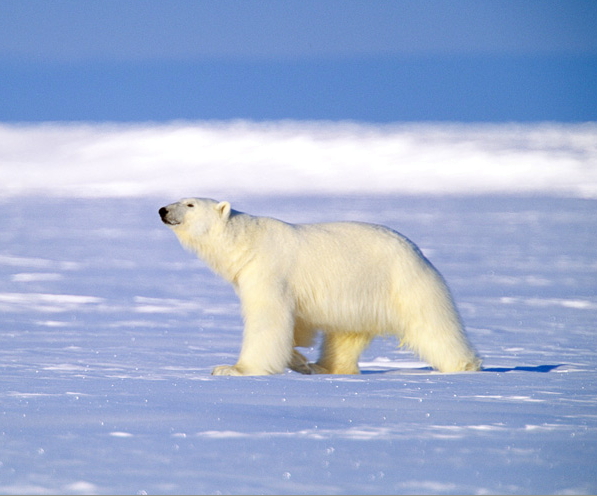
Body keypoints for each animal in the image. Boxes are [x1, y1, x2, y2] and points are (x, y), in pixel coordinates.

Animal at [158, 198, 480, 376]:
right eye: (178, 199)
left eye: (190, 203)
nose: (162, 210)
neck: (247, 242)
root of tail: (417, 250)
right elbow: (298, 327)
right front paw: (298, 359)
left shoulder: (269, 271)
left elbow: (268, 319)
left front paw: (234, 369)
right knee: (345, 335)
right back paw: (324, 367)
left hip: (402, 280)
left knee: (433, 324)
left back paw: (464, 366)